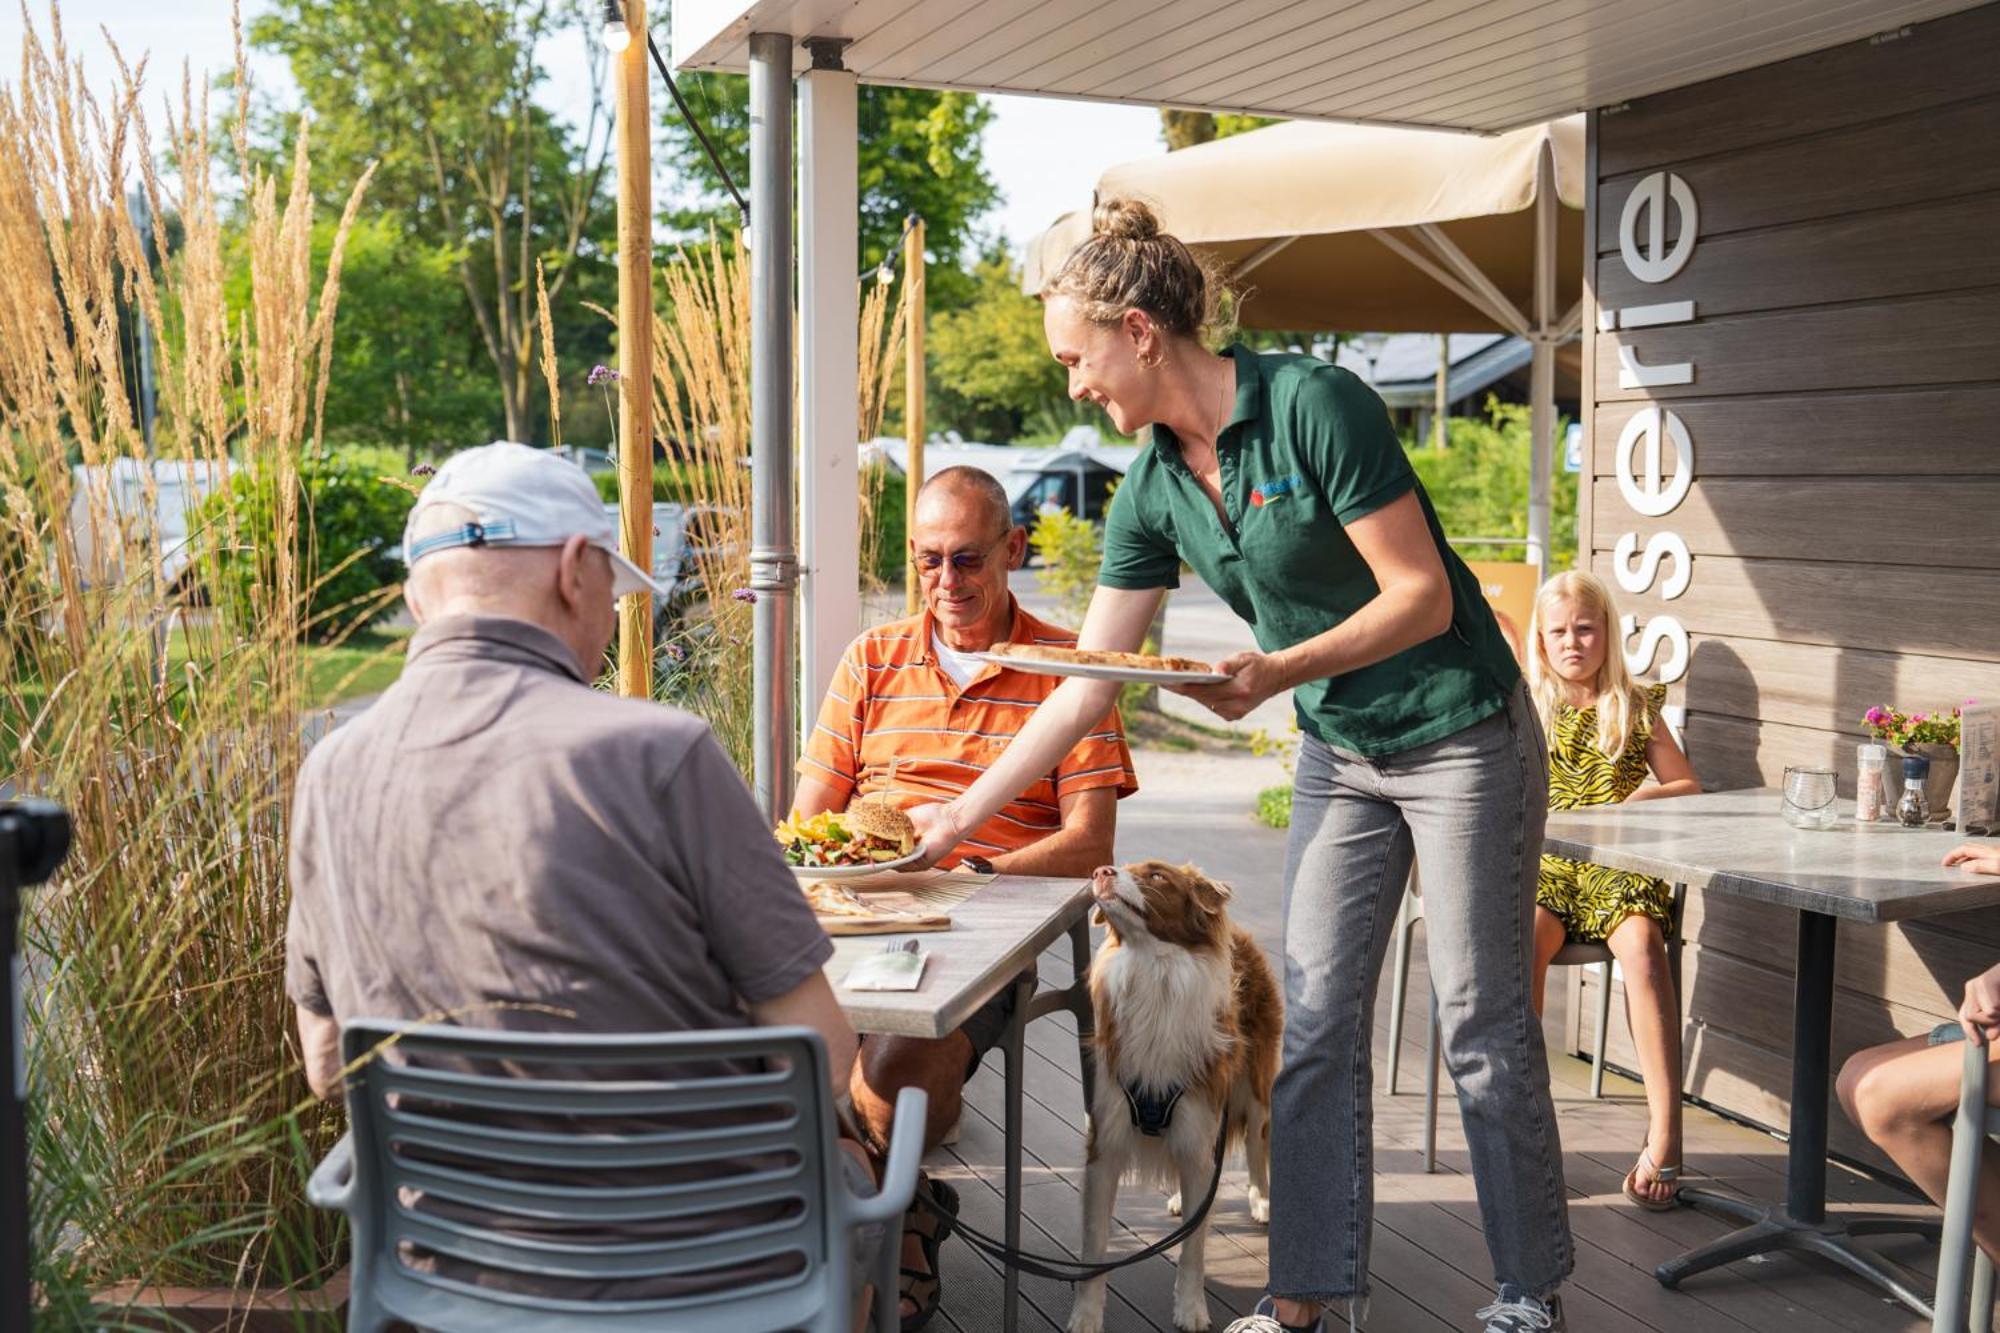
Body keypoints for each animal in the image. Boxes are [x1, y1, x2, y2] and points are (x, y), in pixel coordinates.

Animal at [1080, 856, 1280, 1320]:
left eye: (1156, 876)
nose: (1100, 872)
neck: (1154, 969)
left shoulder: (1199, 1135)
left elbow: (1193, 1249)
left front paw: (1191, 1311)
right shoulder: (1106, 1141)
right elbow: (1094, 1247)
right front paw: (1085, 1317)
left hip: (1255, 1091)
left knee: (1257, 1145)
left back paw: (1261, 1200)